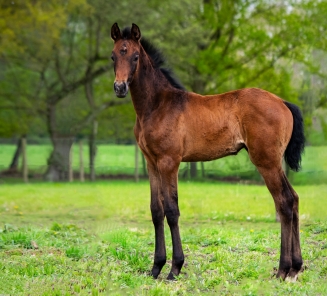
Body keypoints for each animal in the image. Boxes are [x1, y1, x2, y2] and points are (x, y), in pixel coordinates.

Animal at [111, 22, 306, 280]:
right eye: (113, 56)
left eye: (135, 56)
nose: (120, 87)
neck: (157, 105)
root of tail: (283, 102)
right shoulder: (151, 163)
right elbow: (156, 210)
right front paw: (156, 267)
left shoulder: (169, 162)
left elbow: (171, 210)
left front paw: (175, 268)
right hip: (273, 162)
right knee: (293, 199)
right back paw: (295, 267)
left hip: (267, 161)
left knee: (283, 202)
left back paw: (284, 269)